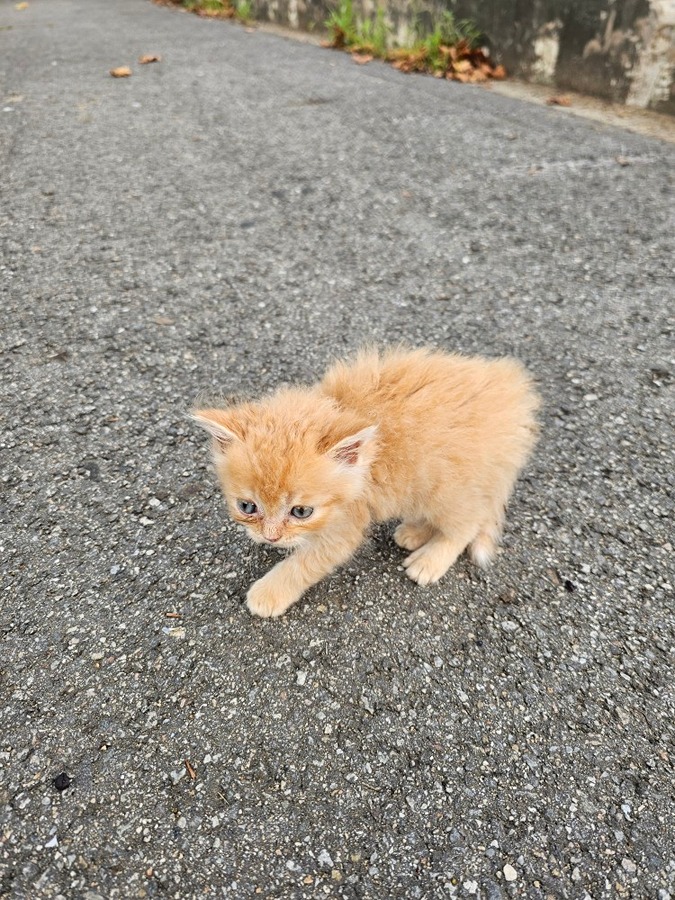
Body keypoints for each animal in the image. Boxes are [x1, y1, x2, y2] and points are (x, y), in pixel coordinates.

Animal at [193, 346, 540, 620]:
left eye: (301, 512)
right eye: (247, 507)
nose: (271, 538)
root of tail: (515, 396)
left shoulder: (346, 522)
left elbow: (304, 563)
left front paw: (269, 592)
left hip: (448, 487)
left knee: (466, 523)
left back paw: (430, 559)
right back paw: (413, 531)